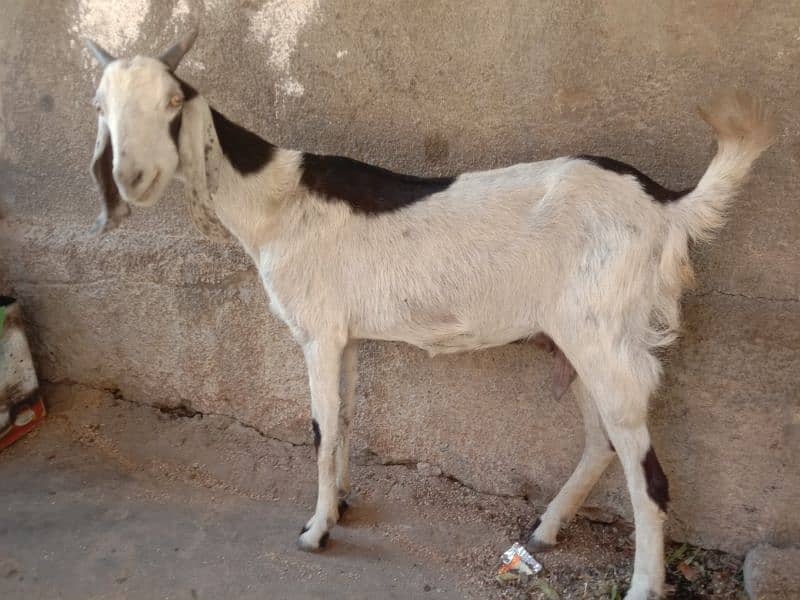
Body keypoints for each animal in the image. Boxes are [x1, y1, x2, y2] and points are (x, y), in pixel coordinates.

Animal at [84, 29, 772, 600]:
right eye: (99, 107)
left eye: (173, 101)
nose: (132, 175)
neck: (273, 203)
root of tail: (667, 206)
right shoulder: (348, 337)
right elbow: (346, 419)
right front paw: (341, 503)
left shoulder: (318, 332)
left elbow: (321, 428)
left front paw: (315, 530)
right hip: (573, 340)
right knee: (603, 442)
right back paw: (546, 529)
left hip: (603, 335)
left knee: (646, 472)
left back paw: (642, 586)